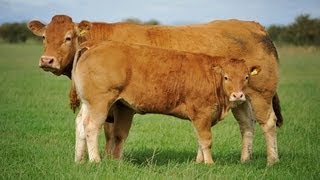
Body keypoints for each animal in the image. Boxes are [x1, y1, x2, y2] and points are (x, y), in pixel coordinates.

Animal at [72, 40, 260, 163]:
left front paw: (199, 162)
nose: (238, 96)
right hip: (99, 103)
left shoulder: (204, 118)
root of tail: (95, 46)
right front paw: (209, 163)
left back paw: (79, 160)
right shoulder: (202, 114)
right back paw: (95, 160)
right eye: (226, 77)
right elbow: (206, 140)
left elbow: (200, 140)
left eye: (246, 77)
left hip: (88, 104)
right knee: (91, 127)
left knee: (80, 124)